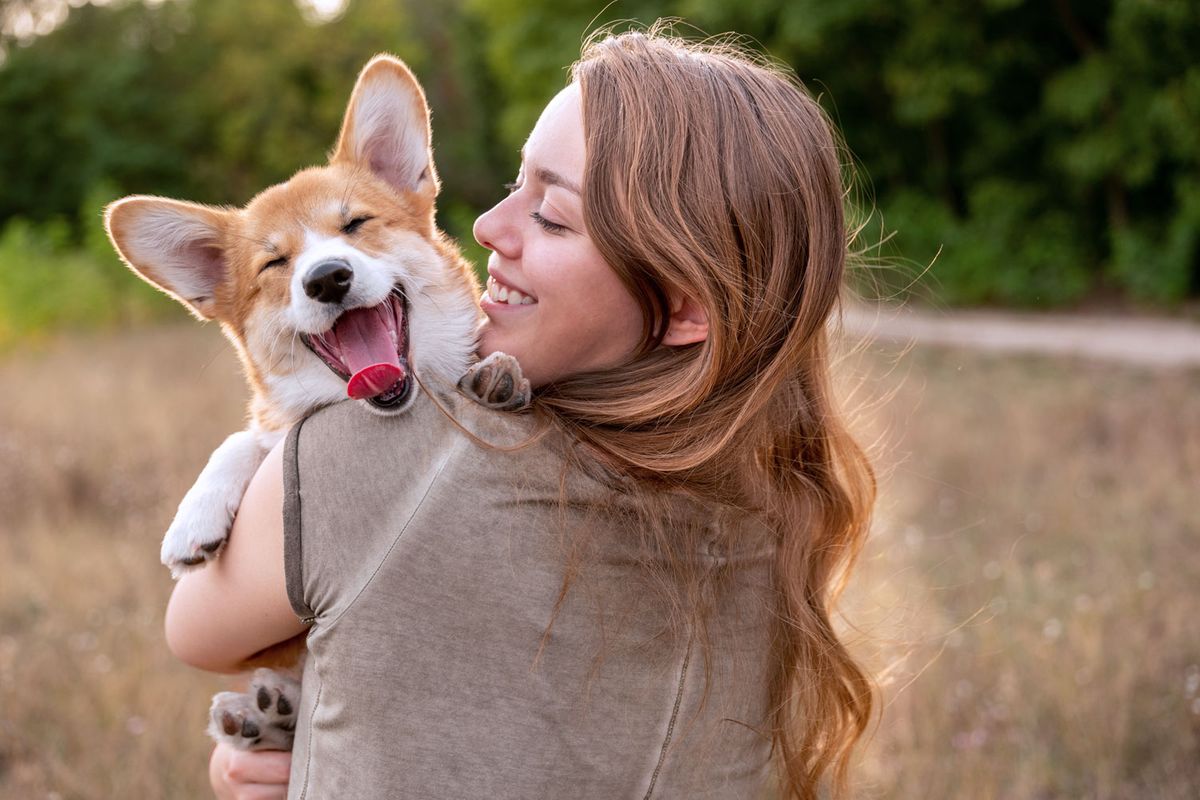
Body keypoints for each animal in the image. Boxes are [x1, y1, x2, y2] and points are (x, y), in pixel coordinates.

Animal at [105, 54, 528, 753]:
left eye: (355, 224)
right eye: (274, 264)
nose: (327, 278)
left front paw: (498, 374)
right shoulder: (275, 427)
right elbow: (244, 438)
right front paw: (193, 521)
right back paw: (260, 715)